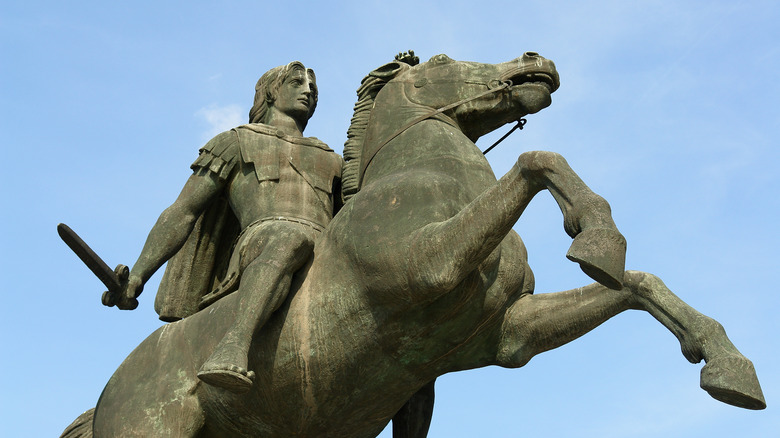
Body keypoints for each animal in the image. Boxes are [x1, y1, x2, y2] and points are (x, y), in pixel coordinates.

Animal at [64, 52, 764, 438]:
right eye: (442, 61)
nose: (536, 61)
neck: (419, 180)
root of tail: (105, 400)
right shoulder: (427, 267)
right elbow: (537, 161)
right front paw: (595, 234)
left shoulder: (504, 336)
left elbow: (635, 285)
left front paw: (728, 368)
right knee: (279, 252)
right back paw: (225, 366)